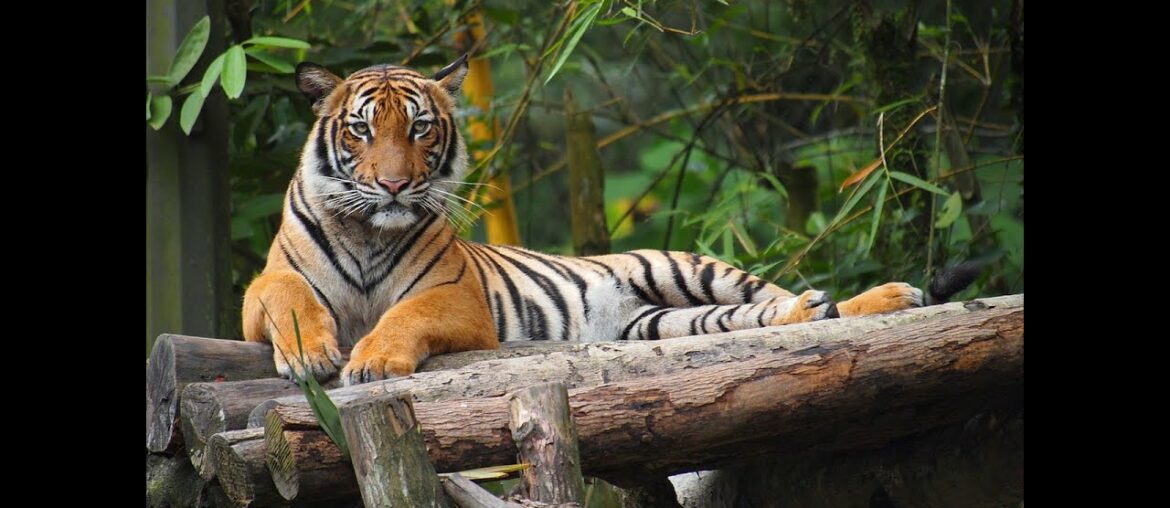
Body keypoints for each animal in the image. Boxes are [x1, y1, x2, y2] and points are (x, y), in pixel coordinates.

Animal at [242, 54, 925, 387]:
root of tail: (623, 309)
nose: (393, 184)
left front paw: (375, 362)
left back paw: (892, 296)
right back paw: (820, 308)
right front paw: (309, 357)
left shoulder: (454, 298)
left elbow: (404, 316)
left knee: (779, 296)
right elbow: (287, 296)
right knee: (757, 318)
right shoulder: (259, 292)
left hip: (689, 268)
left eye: (420, 128)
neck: (368, 230)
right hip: (663, 323)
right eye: (361, 129)